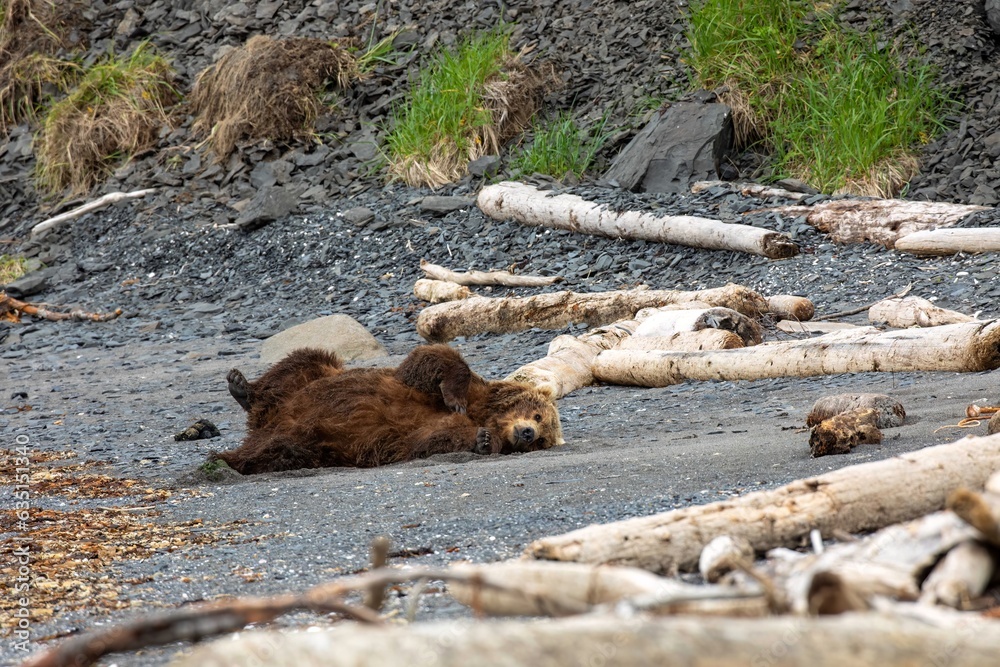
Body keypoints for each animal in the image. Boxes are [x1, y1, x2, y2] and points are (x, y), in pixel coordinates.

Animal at [216, 344, 564, 474]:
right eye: (537, 414)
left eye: (543, 438)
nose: (528, 433)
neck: (485, 413)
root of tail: (266, 422)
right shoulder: (427, 387)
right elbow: (434, 360)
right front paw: (454, 398)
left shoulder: (422, 431)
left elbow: (432, 440)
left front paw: (484, 441)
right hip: (312, 382)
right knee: (302, 362)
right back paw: (241, 388)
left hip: (308, 443)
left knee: (281, 450)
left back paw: (233, 460)